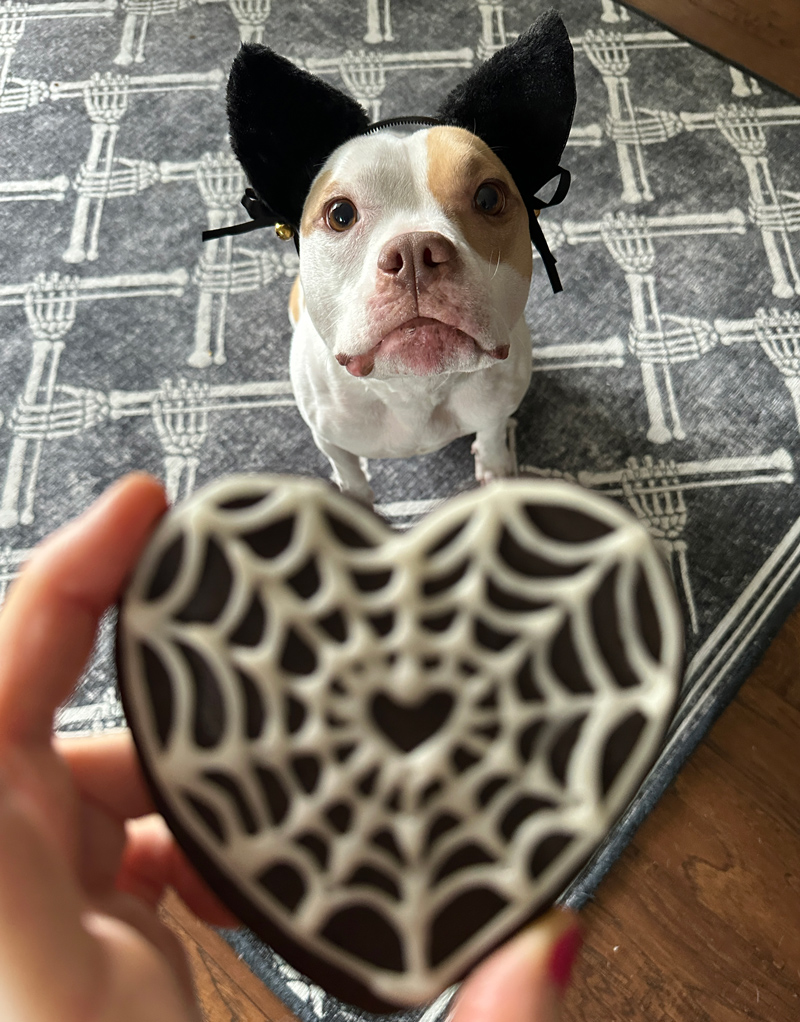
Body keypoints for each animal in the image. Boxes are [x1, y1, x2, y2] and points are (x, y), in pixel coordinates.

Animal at [221, 7, 580, 502]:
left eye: (489, 198)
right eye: (339, 214)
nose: (415, 251)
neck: (416, 388)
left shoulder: (497, 400)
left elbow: (491, 430)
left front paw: (495, 466)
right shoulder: (329, 436)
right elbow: (348, 468)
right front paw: (355, 502)